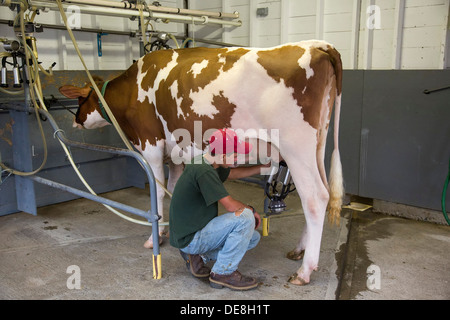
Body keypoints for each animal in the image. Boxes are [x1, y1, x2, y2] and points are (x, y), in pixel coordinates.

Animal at [58, 40, 342, 284]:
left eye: (80, 100)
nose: (74, 119)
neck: (134, 85)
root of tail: (317, 44)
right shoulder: (174, 154)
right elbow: (173, 188)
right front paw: (169, 231)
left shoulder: (151, 144)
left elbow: (158, 192)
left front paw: (154, 238)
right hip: (317, 145)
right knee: (325, 191)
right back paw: (299, 250)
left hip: (297, 146)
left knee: (314, 197)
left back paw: (304, 270)